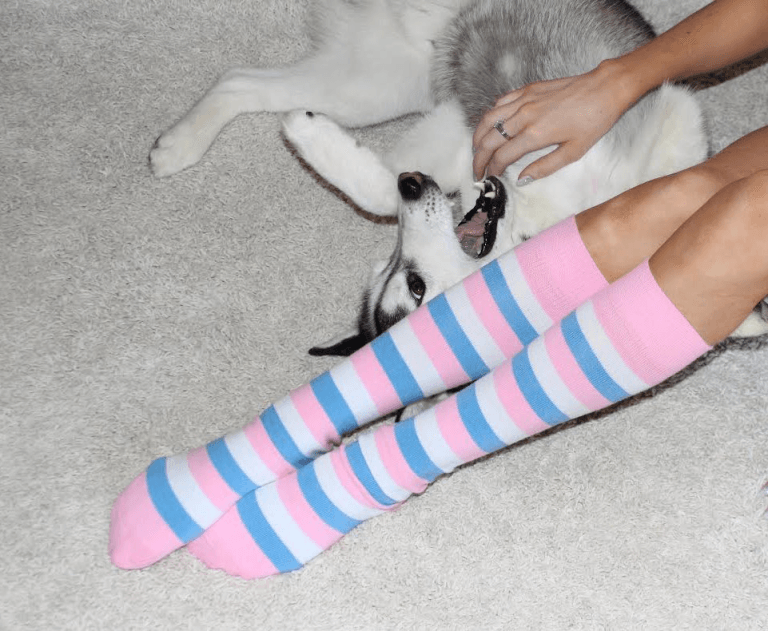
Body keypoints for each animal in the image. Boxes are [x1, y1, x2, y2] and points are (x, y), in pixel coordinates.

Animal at [150, 0, 768, 350]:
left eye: (414, 286)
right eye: (397, 273)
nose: (415, 187)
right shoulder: (472, 135)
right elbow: (381, 192)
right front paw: (312, 140)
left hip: (373, 85)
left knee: (242, 80)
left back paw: (182, 145)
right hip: (375, 87)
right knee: (240, 80)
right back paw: (185, 145)